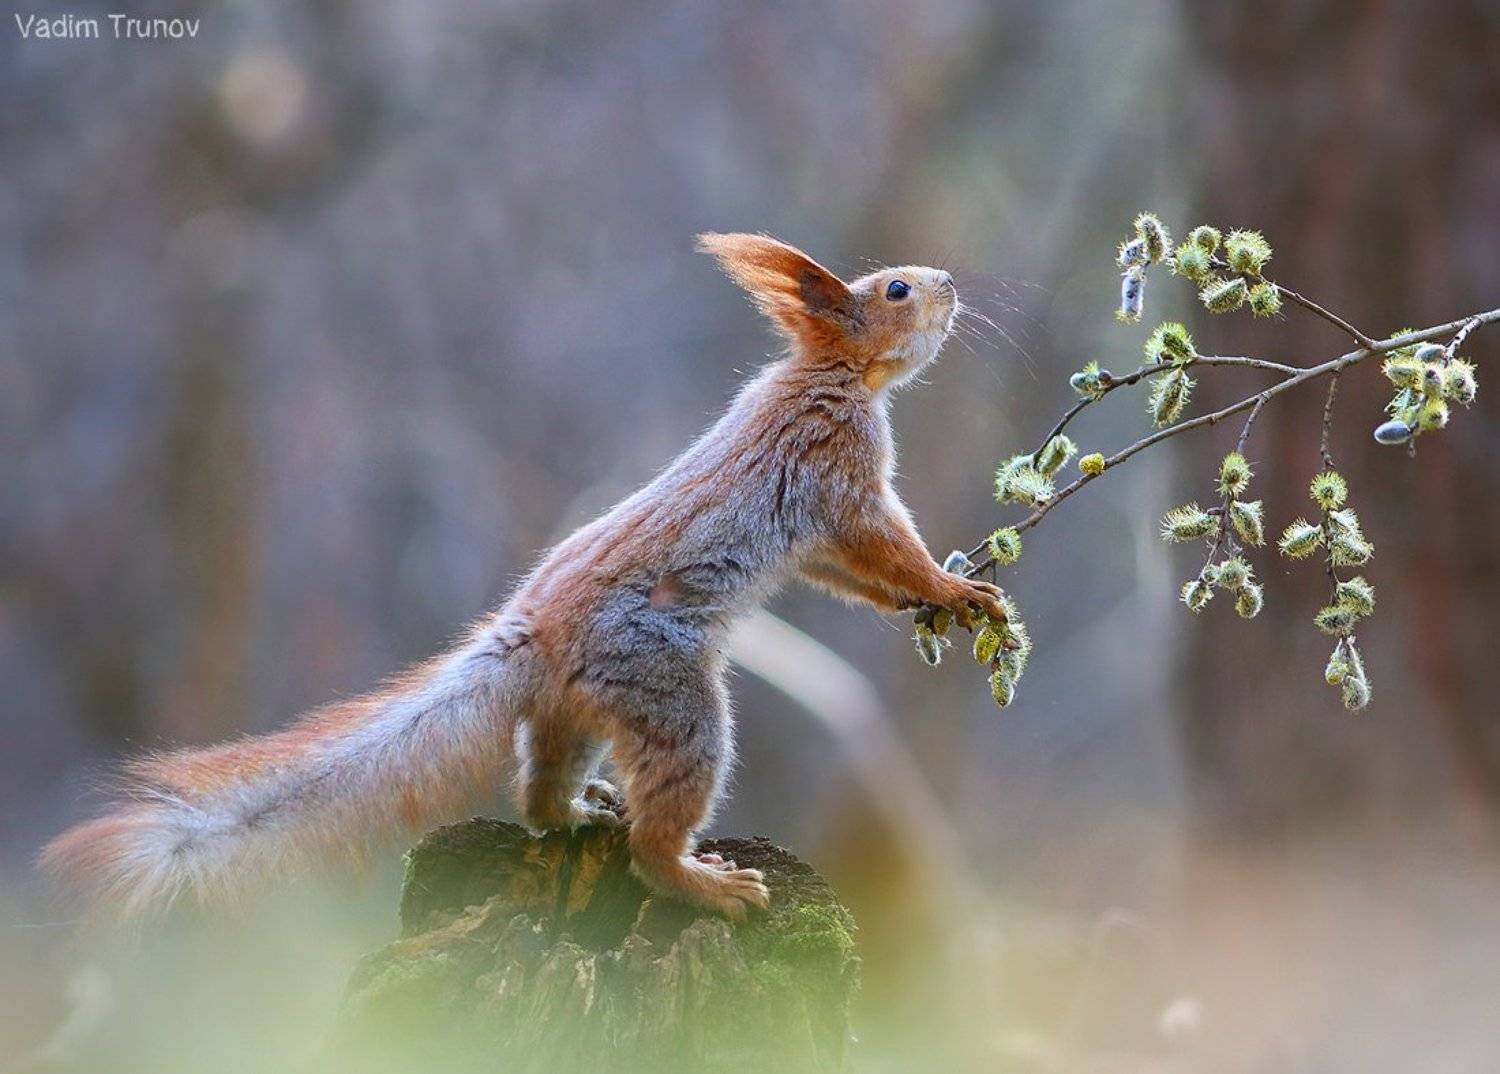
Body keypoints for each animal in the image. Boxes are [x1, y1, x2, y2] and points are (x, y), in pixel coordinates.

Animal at [42, 232, 1007, 921]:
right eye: (894, 289)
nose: (950, 281)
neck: (832, 373)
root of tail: (531, 636)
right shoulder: (839, 475)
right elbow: (883, 545)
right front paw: (954, 589)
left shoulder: (819, 529)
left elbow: (853, 574)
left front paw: (942, 599)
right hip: (671, 699)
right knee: (654, 832)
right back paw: (702, 883)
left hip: (576, 714)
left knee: (535, 792)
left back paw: (579, 812)